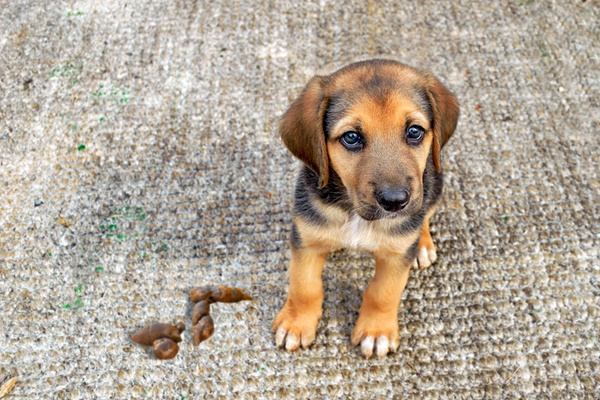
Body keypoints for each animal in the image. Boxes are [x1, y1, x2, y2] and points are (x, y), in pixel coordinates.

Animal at [272, 57, 460, 358]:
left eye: (414, 132)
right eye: (351, 137)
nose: (395, 202)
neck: (355, 214)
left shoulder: (396, 256)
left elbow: (383, 292)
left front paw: (376, 331)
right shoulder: (306, 240)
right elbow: (304, 286)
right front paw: (296, 323)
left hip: (434, 184)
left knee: (425, 216)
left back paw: (422, 245)